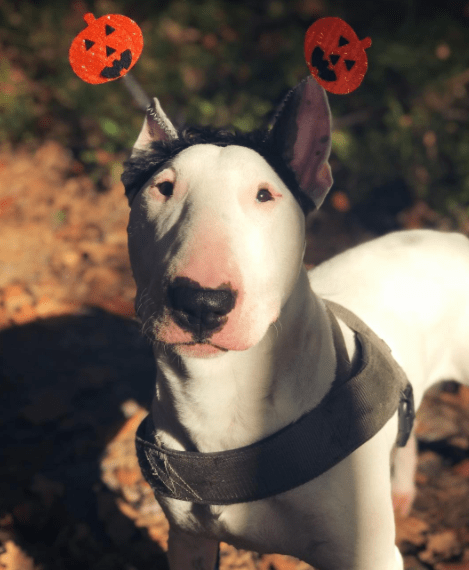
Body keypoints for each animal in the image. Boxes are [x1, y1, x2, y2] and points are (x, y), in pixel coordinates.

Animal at [120, 76, 468, 568]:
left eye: (265, 195)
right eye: (163, 188)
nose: (201, 302)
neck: (224, 390)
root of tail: (455, 238)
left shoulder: (369, 557)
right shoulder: (187, 539)